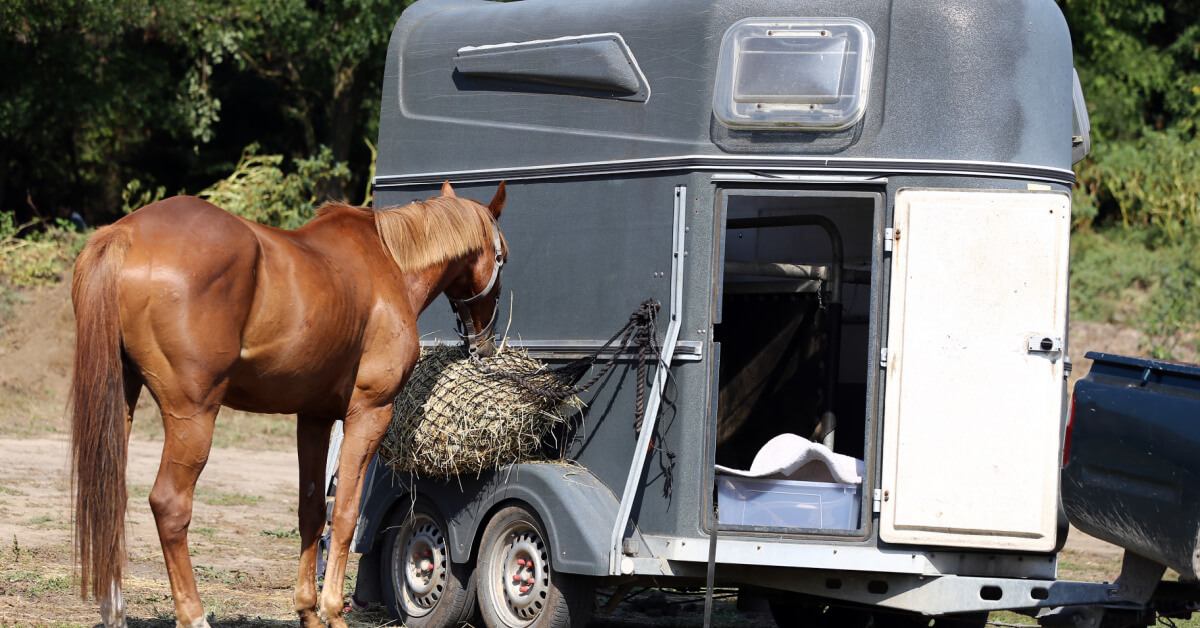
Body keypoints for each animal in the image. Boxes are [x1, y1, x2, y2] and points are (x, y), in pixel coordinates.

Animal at [71, 178, 506, 624]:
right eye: (501, 257)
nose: (486, 341)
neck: (388, 263)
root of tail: (124, 233)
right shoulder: (369, 414)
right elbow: (345, 514)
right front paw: (332, 611)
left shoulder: (314, 417)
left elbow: (311, 512)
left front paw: (308, 611)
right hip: (193, 416)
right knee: (170, 506)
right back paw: (194, 615)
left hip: (120, 405)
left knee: (110, 496)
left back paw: (114, 610)